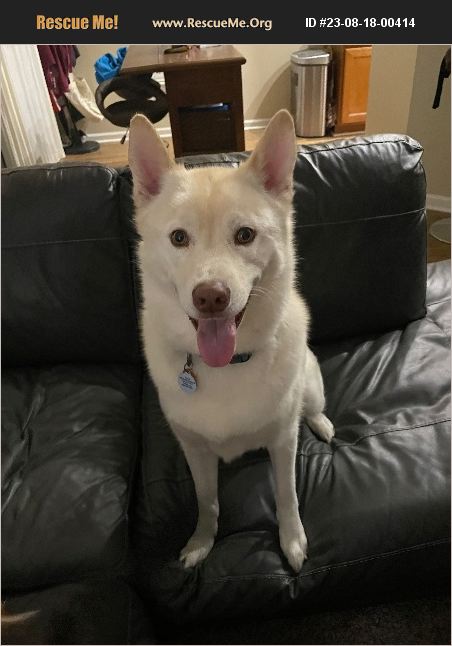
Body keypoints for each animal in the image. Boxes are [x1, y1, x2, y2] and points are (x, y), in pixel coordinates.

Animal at [128, 109, 334, 573]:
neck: (227, 365)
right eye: (179, 238)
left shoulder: (282, 441)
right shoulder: (195, 451)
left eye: (245, 235)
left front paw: (292, 540)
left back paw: (321, 422)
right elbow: (207, 502)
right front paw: (201, 542)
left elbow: (287, 495)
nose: (210, 297)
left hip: (309, 384)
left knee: (312, 407)